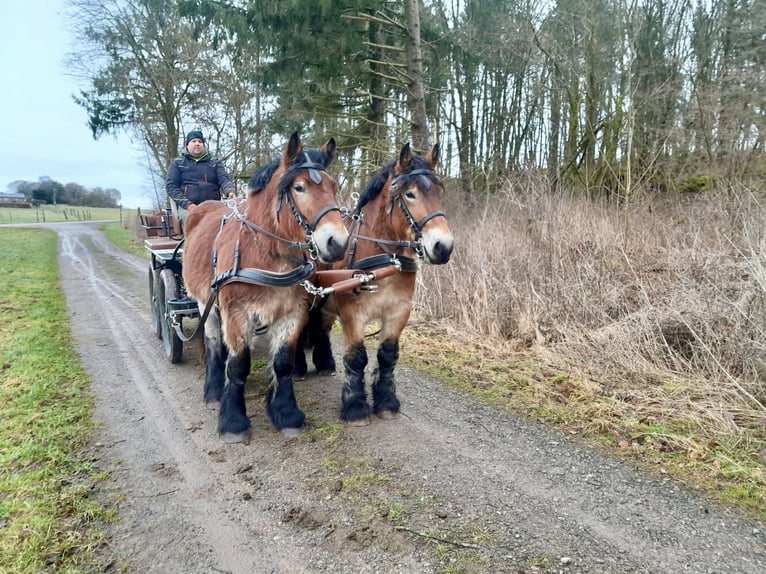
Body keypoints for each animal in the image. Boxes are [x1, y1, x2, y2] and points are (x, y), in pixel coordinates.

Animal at [182, 134, 350, 440]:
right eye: (299, 187)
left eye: (334, 187)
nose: (337, 242)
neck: (262, 251)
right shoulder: (236, 314)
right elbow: (238, 365)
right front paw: (233, 421)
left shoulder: (292, 313)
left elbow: (283, 364)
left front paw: (286, 413)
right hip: (205, 303)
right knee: (213, 343)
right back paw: (213, 390)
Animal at [298, 142, 456, 426]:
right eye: (410, 194)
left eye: (440, 192)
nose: (443, 247)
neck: (385, 259)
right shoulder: (352, 312)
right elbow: (357, 356)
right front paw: (355, 407)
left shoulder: (399, 311)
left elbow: (388, 355)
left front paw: (386, 402)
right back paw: (297, 368)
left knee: (320, 326)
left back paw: (325, 362)